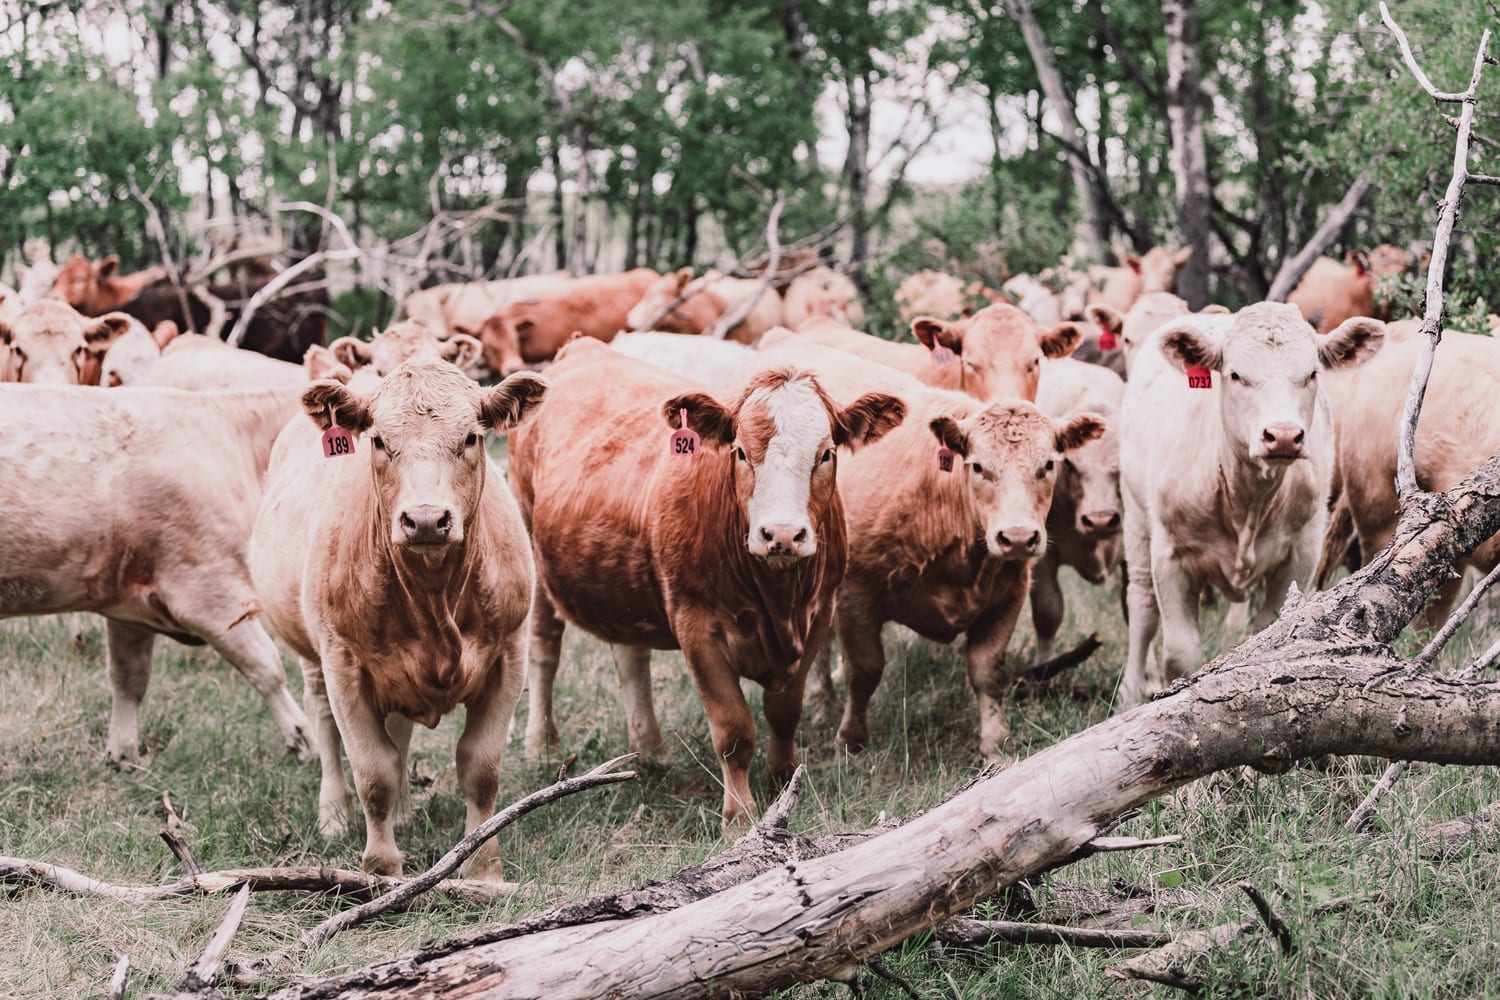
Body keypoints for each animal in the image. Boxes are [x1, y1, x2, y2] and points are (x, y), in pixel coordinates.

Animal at [0, 382, 310, 760]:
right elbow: (267, 666)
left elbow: (128, 677)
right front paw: (304, 739)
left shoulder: (128, 600)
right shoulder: (208, 589)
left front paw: (123, 755)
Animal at [249, 359, 548, 878]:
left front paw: (482, 867)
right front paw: (381, 870)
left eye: (471, 437)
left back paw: (405, 811)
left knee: (399, 731)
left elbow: (480, 768)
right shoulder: (345, 667)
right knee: (324, 722)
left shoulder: (509, 657)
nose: (426, 519)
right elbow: (374, 773)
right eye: (378, 441)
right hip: (312, 654)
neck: (433, 599)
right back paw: (334, 814)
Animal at [509, 339, 905, 826]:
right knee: (544, 649)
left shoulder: (818, 614)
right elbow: (733, 728)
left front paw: (783, 776)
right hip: (532, 546)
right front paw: (739, 814)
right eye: (740, 452)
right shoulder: (697, 627)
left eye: (826, 453)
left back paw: (650, 748)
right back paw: (541, 743)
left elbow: (784, 711)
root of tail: (581, 347)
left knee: (630, 657)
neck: (779, 602)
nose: (782, 535)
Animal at [754, 339, 1105, 759]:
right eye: (978, 467)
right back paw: (823, 702)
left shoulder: (1009, 594)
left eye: (1049, 465)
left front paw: (994, 742)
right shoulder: (857, 594)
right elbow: (865, 670)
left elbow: (987, 671)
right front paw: (851, 738)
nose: (1018, 537)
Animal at [1117, 302, 1384, 707]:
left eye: (1312, 374)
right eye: (1235, 375)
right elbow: (1179, 652)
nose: (1283, 436)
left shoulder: (1300, 554)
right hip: (1136, 519)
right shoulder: (1171, 556)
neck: (1247, 499)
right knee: (1142, 605)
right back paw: (1131, 691)